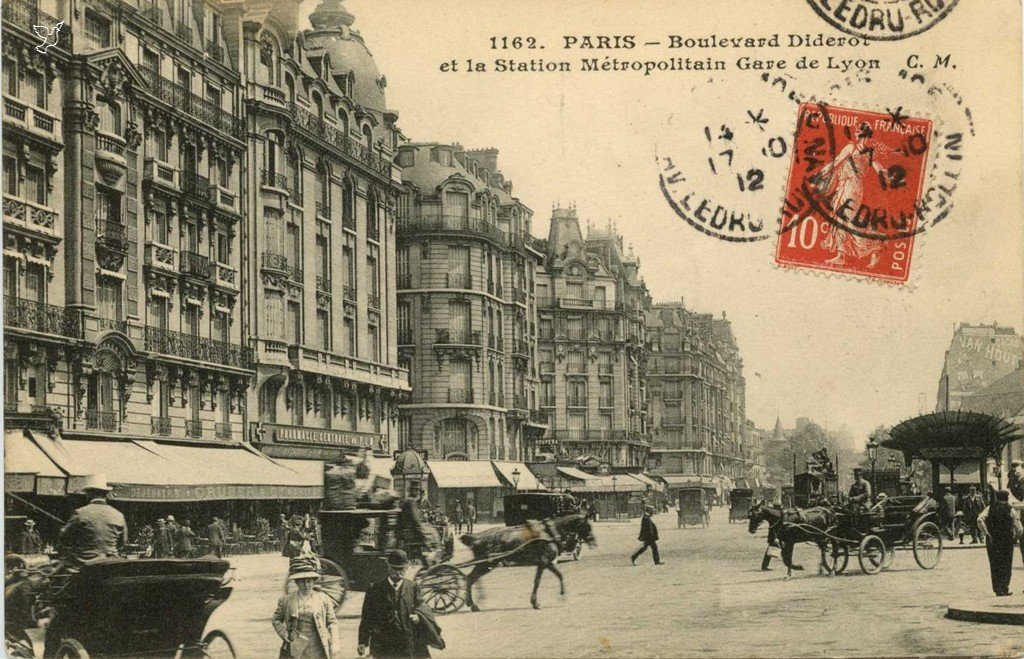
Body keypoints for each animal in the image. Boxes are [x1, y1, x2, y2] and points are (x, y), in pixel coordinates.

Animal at [460, 515, 598, 613]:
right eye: (587, 526)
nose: (594, 542)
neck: (550, 533)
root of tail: (476, 537)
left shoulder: (546, 563)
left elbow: (557, 576)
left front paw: (560, 595)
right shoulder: (544, 562)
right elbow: (539, 581)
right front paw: (536, 602)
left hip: (485, 564)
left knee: (471, 578)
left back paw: (474, 603)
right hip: (487, 563)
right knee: (471, 578)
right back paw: (473, 603)